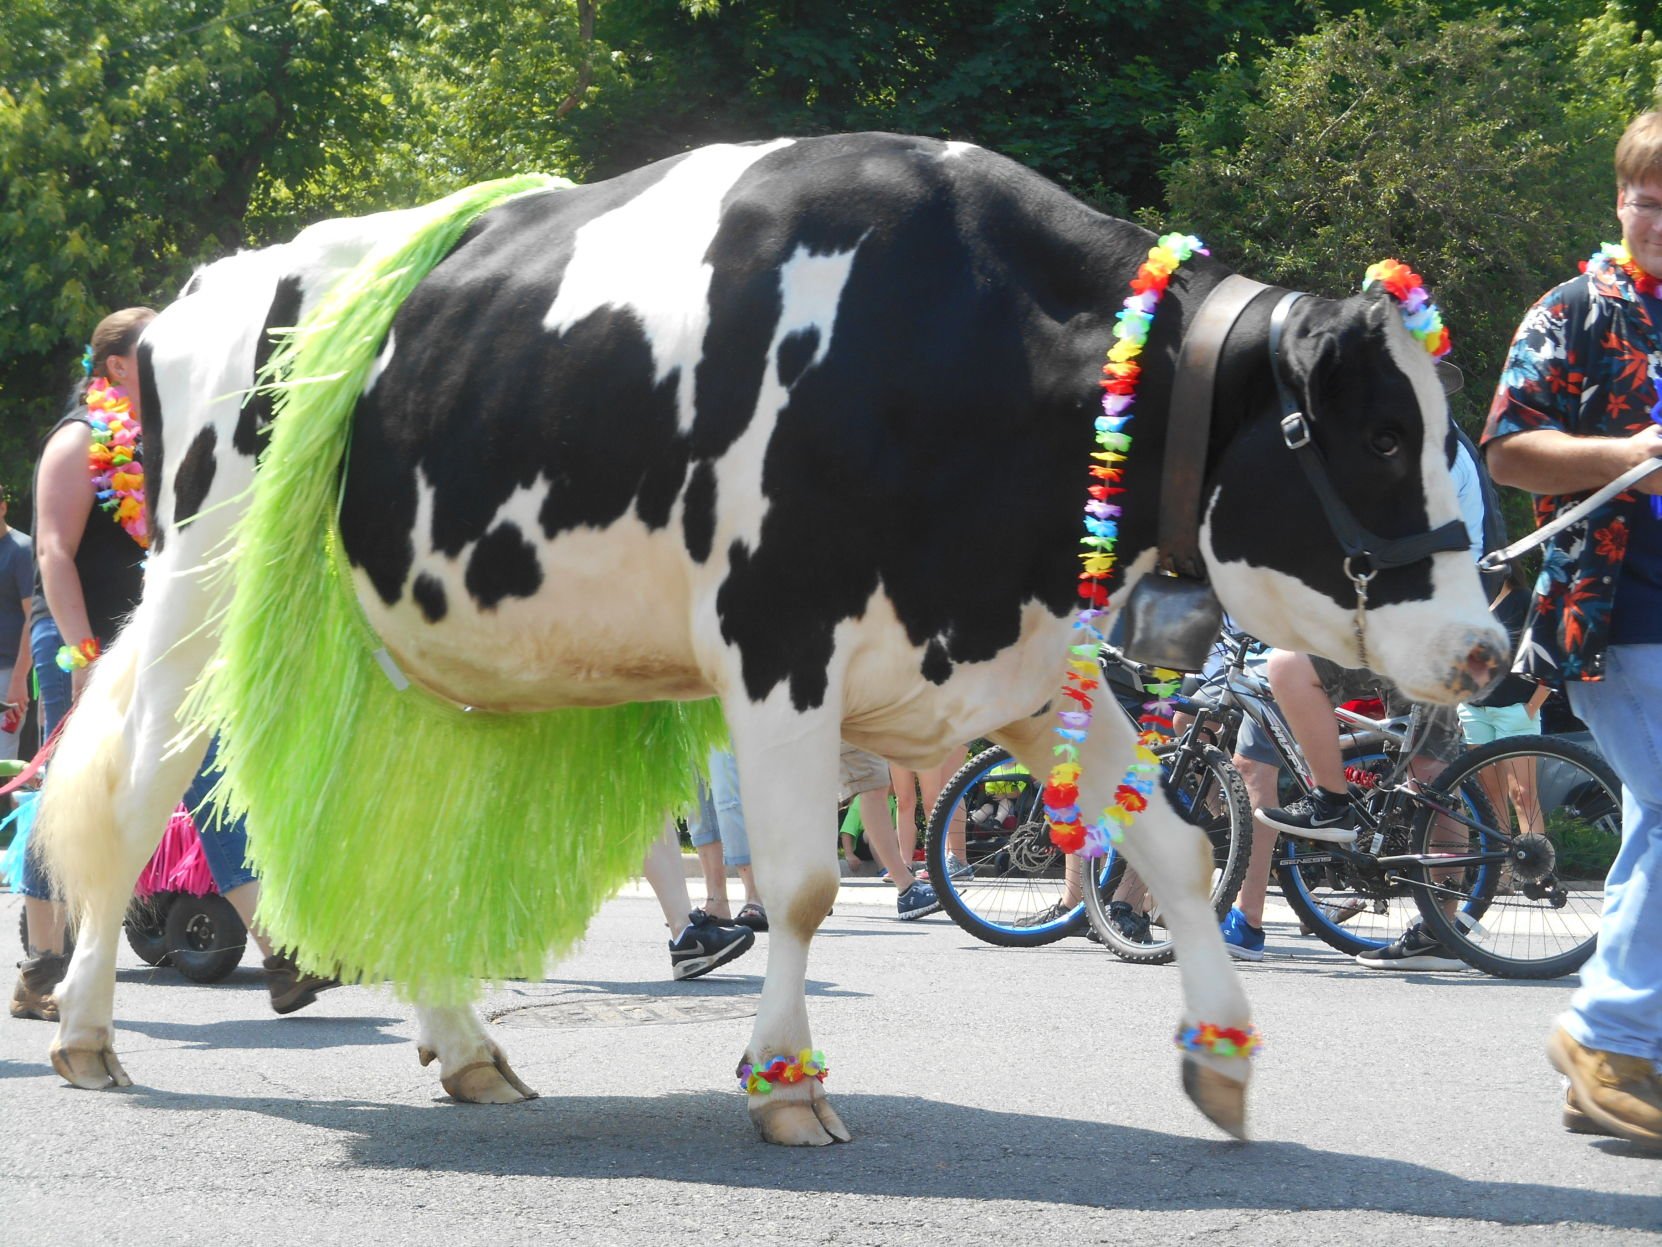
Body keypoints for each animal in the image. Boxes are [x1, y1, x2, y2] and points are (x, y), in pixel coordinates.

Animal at [35, 134, 1509, 1143]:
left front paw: (1222, 1055)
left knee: (380, 834)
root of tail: (195, 292)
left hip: (406, 655)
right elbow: (797, 883)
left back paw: (466, 1048)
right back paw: (90, 1031)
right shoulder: (778, 642)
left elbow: (1174, 848)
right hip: (201, 592)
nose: (1488, 646)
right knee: (142, 791)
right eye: (1385, 433)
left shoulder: (1021, 659)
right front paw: (786, 1084)